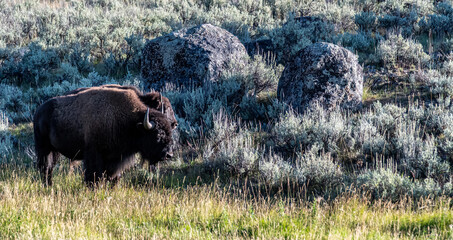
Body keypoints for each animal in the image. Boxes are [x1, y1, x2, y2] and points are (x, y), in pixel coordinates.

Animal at [33, 86, 175, 186]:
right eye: (158, 134)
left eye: (169, 132)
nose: (169, 154)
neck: (131, 122)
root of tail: (39, 112)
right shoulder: (94, 154)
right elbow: (94, 176)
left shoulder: (114, 159)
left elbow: (110, 176)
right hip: (44, 148)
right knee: (46, 168)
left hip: (54, 151)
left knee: (49, 168)